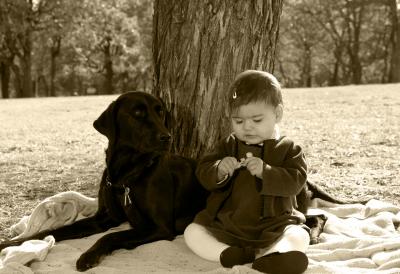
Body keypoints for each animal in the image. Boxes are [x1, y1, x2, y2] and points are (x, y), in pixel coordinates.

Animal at [0, 91, 362, 270]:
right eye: (138, 113)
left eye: (161, 111)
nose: (167, 137)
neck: (130, 171)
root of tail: (304, 176)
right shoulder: (104, 218)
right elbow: (52, 232)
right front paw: (11, 244)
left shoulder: (158, 228)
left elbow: (112, 237)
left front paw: (89, 256)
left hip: (289, 206)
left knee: (316, 217)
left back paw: (311, 234)